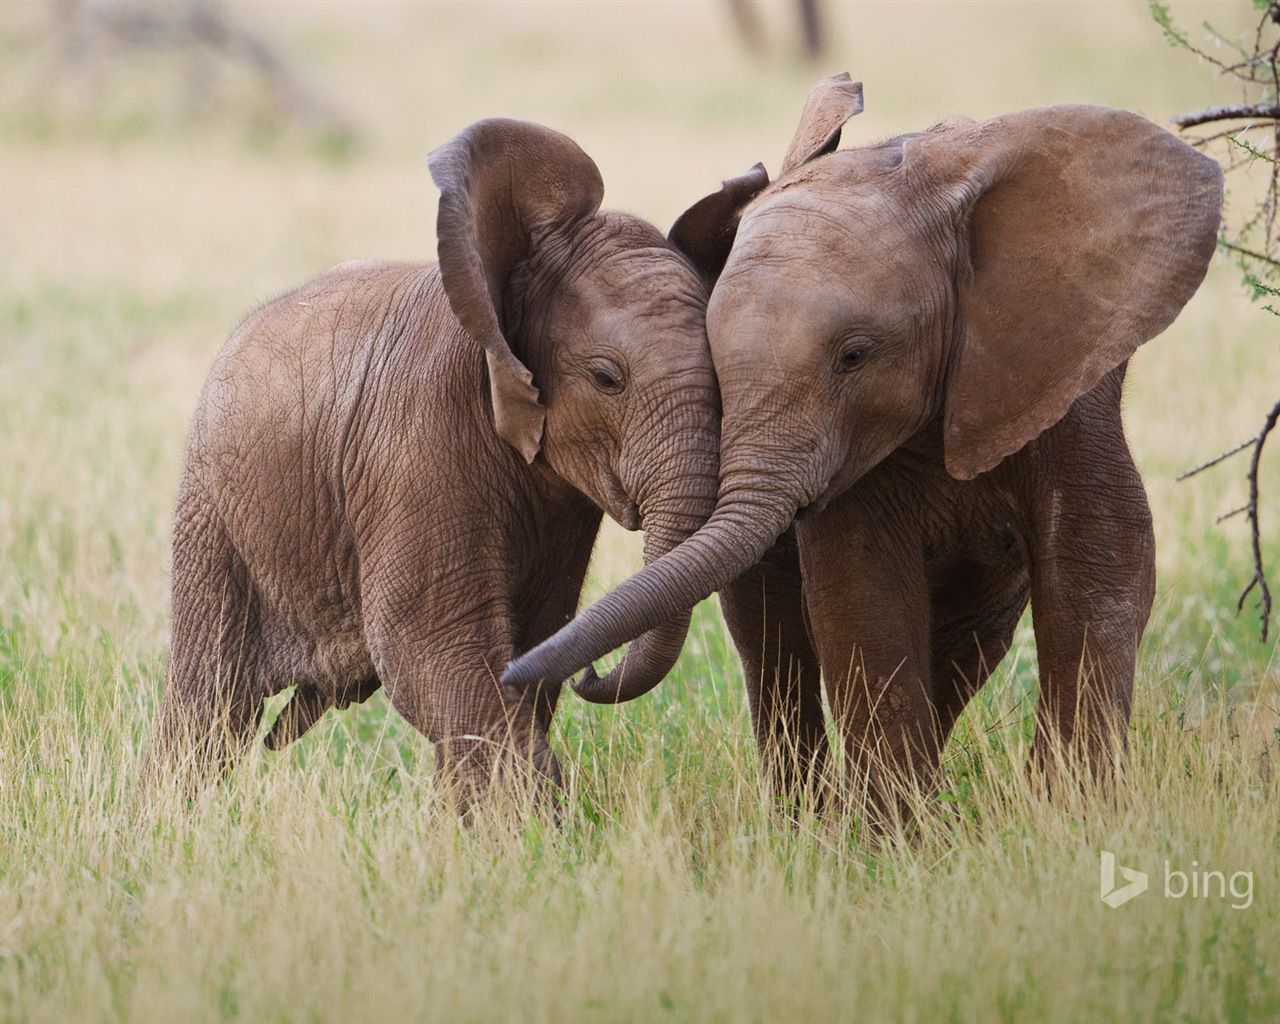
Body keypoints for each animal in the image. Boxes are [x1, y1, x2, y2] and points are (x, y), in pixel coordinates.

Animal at [142, 117, 721, 808]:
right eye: (608, 379)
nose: (594, 672)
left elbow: (529, 647)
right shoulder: (418, 446)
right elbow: (434, 655)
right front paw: (544, 826)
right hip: (215, 511)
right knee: (211, 699)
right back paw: (165, 818)